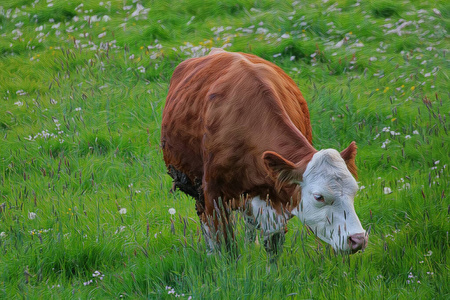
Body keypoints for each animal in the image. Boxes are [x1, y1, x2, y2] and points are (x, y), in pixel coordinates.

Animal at [160, 48, 368, 255]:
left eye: (354, 191)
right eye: (319, 197)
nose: (358, 239)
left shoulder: (278, 199)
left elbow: (273, 246)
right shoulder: (213, 195)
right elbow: (227, 247)